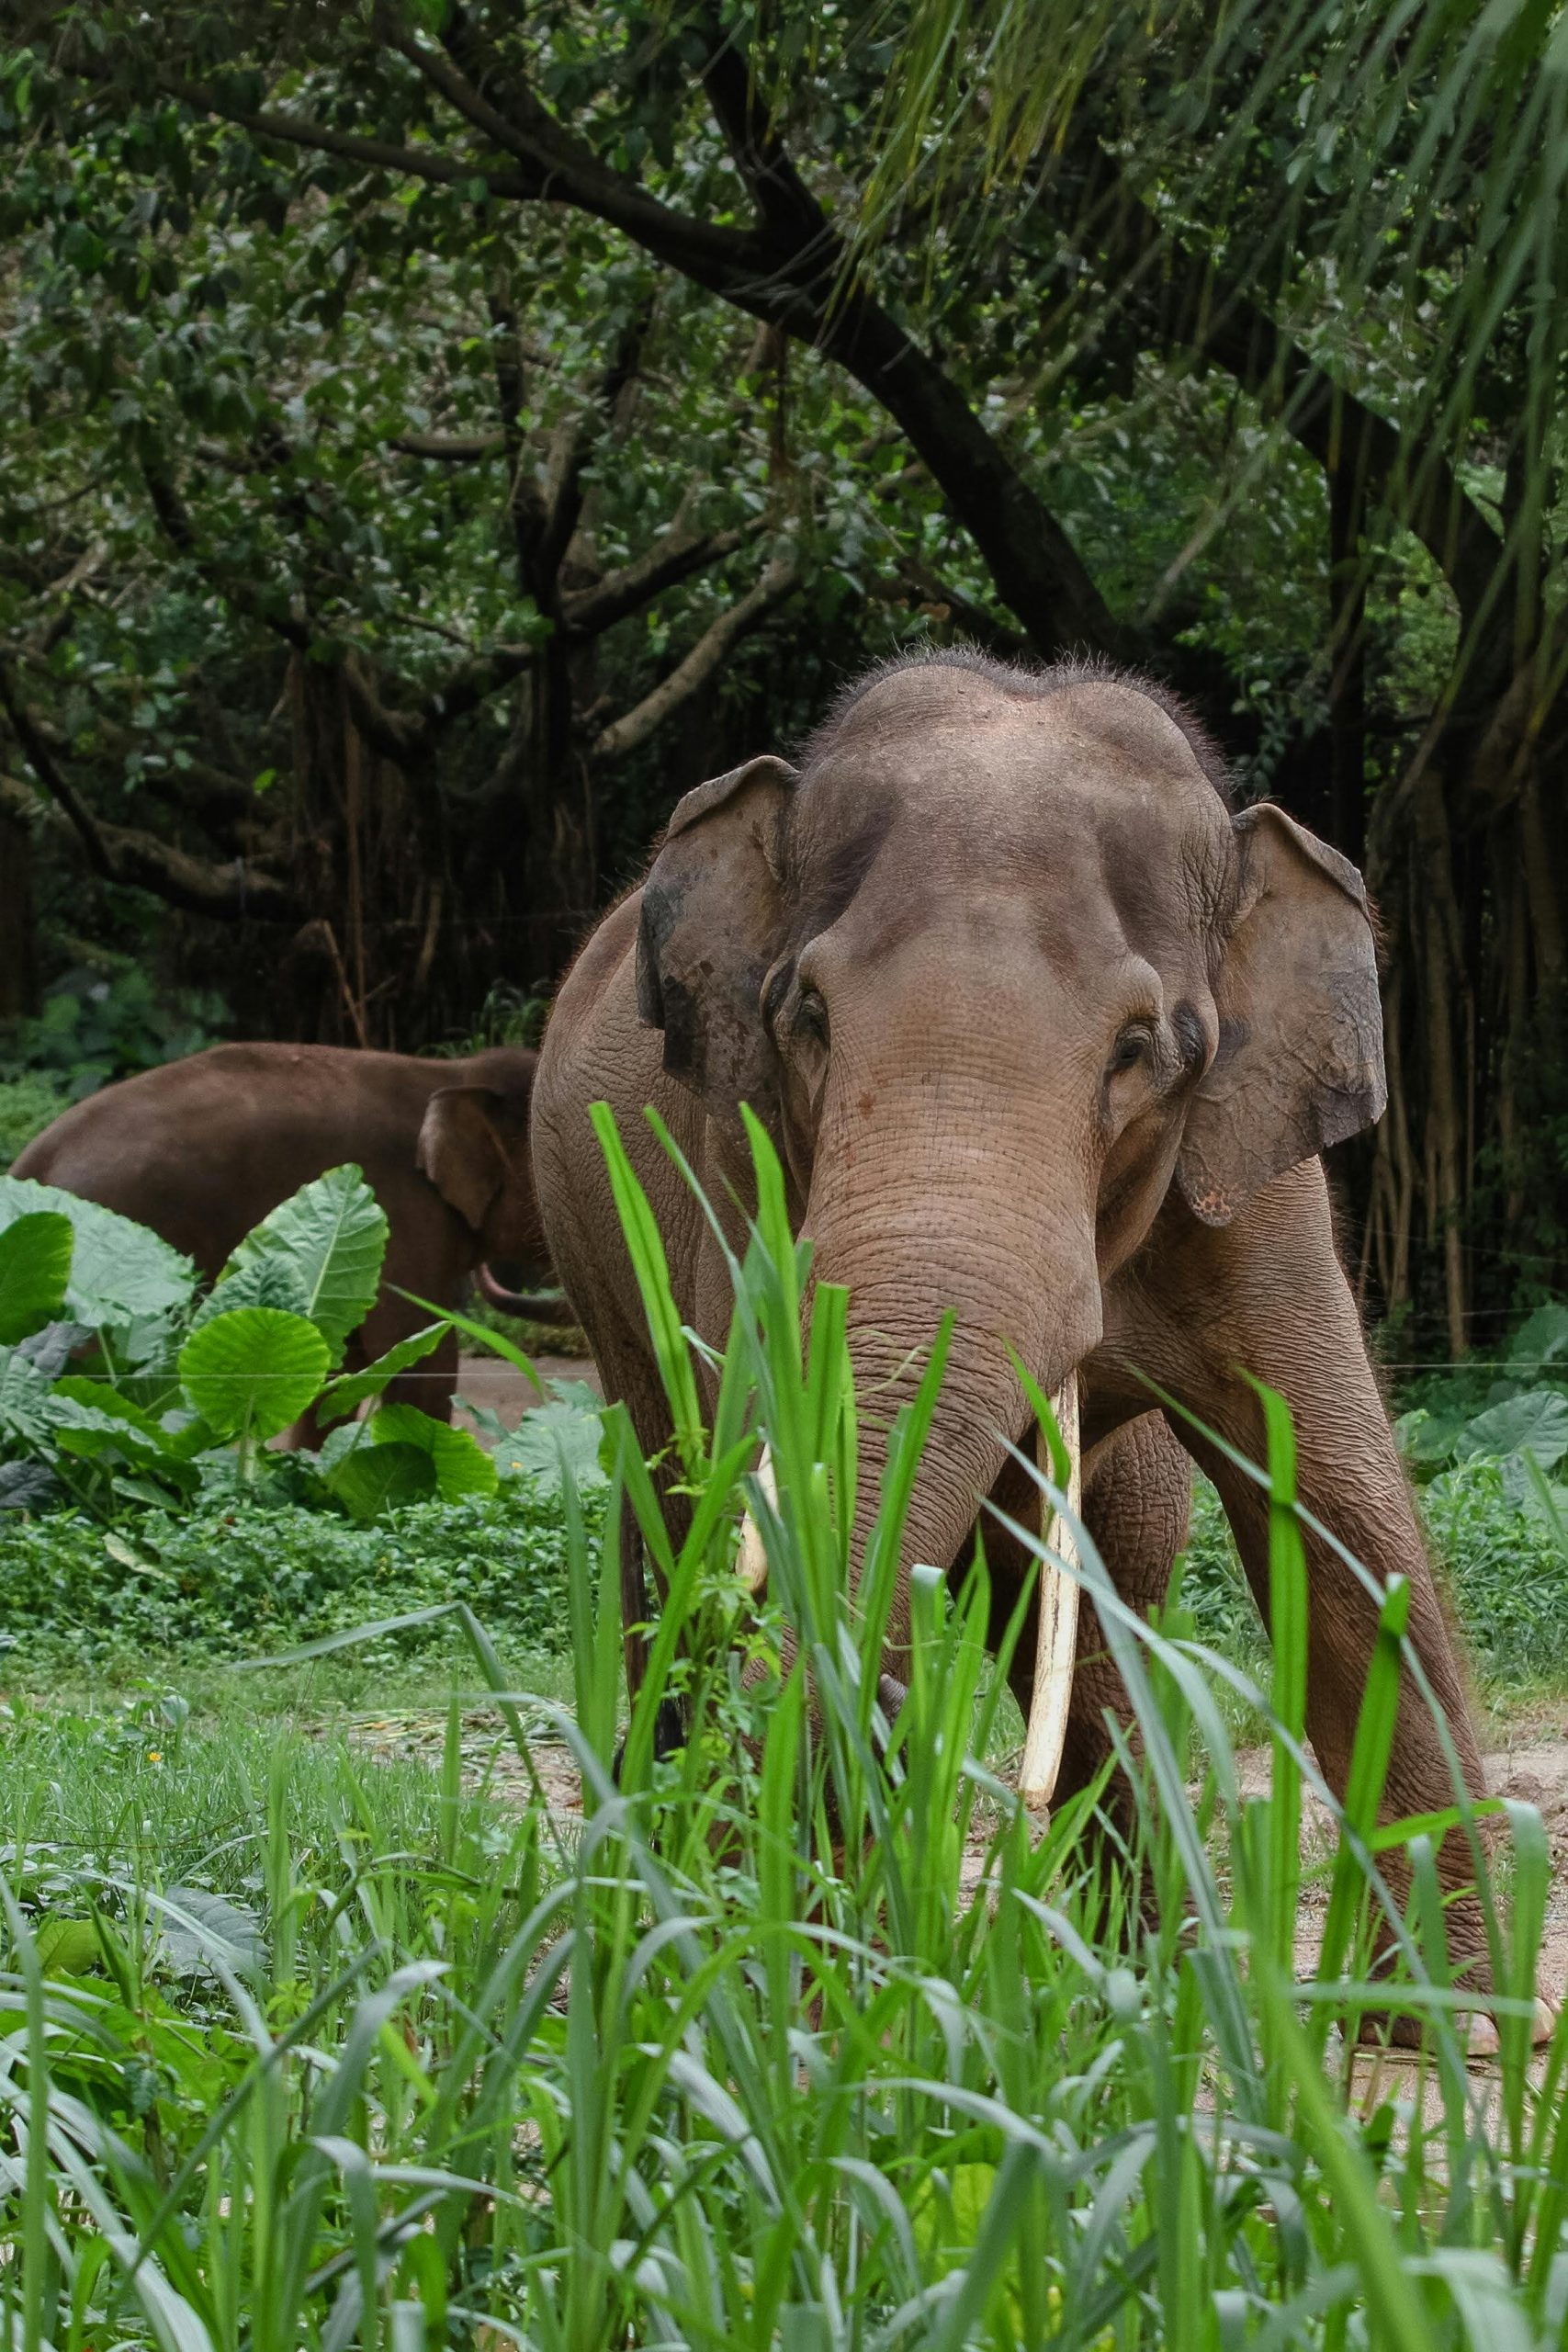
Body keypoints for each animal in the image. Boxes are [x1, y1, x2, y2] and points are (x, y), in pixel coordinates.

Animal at [532, 647, 1504, 2013]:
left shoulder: (1256, 1189)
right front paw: (779, 1991)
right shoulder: (735, 1171)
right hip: (589, 1250)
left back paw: (1145, 1971)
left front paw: (1441, 2014)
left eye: (1140, 1046)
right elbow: (789, 1484)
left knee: (1104, 1576)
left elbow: (1339, 1514)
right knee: (674, 1516)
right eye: (806, 1015)